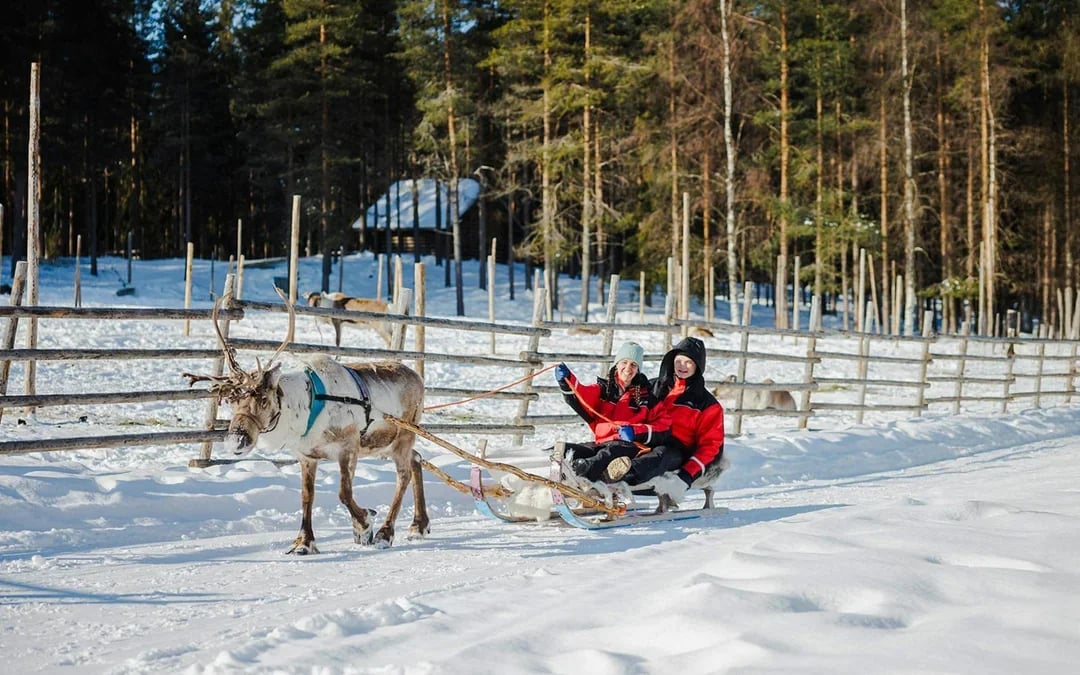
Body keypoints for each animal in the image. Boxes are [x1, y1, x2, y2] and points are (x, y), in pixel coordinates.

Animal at [185, 293, 429, 554]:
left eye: (263, 399)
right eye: (232, 400)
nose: (235, 441)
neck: (309, 406)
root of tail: (418, 377)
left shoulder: (348, 448)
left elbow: (344, 493)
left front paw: (365, 525)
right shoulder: (307, 456)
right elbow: (306, 496)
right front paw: (303, 542)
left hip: (403, 436)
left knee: (403, 475)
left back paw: (386, 533)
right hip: (386, 445)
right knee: (417, 458)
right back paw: (418, 526)